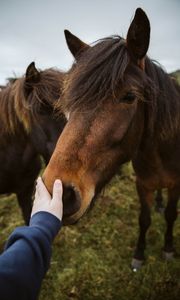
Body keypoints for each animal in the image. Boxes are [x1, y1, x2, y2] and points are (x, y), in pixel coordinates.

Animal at [43, 8, 180, 268]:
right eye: (71, 102)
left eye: (129, 97)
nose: (61, 194)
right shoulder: (142, 184)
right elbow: (144, 218)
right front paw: (139, 253)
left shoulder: (177, 185)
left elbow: (170, 215)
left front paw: (168, 248)